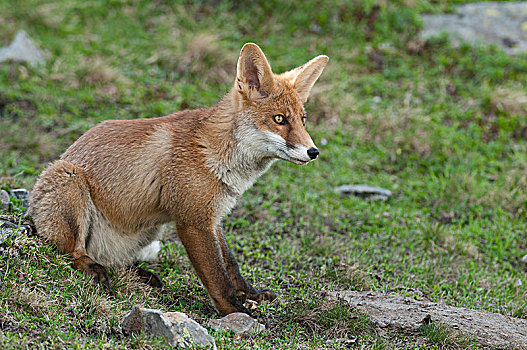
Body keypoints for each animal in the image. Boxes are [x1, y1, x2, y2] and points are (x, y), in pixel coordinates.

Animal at [29, 42, 330, 316]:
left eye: (303, 120)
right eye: (279, 119)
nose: (313, 152)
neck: (214, 151)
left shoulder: (213, 217)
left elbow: (231, 264)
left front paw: (250, 294)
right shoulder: (193, 222)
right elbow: (217, 277)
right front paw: (237, 311)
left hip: (149, 230)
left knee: (119, 262)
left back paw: (140, 274)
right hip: (69, 180)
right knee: (72, 252)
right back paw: (94, 269)